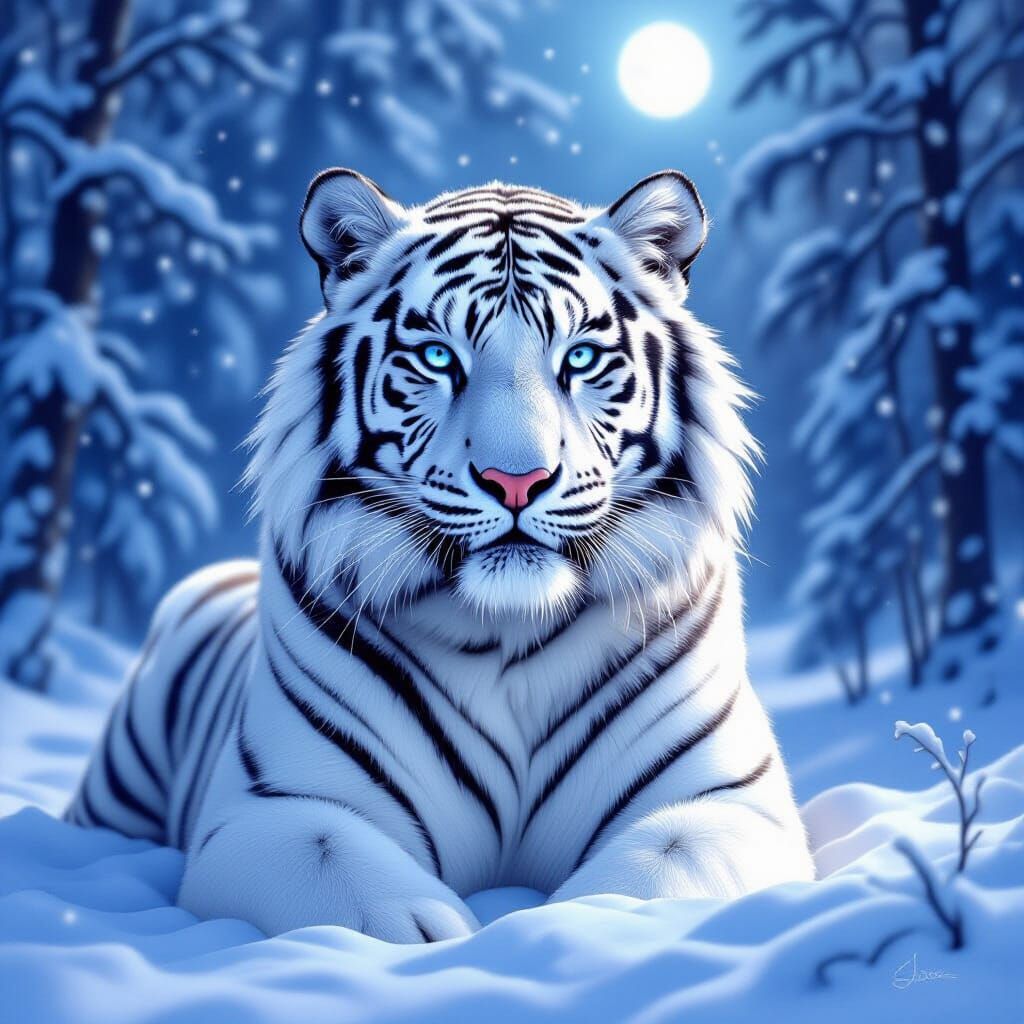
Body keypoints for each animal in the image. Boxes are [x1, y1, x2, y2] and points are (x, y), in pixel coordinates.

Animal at [65, 169, 815, 941]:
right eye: (436, 357)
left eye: (579, 357)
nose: (516, 480)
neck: (510, 633)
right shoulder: (272, 809)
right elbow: (353, 883)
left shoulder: (730, 804)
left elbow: (650, 875)